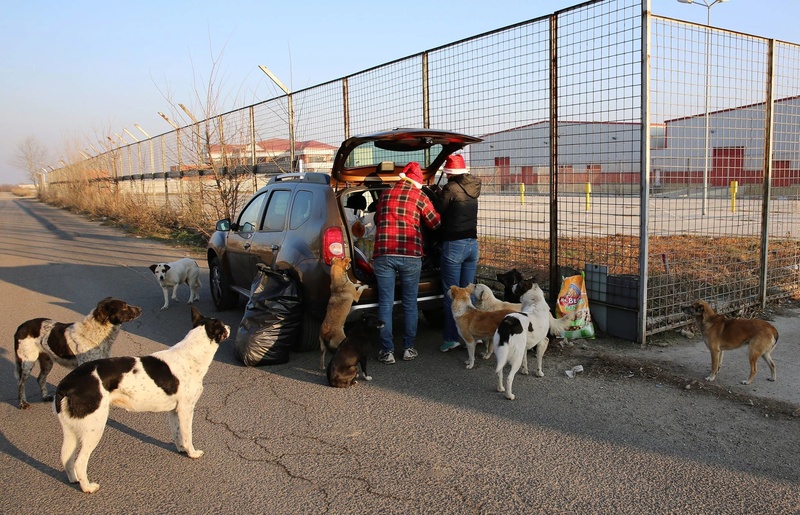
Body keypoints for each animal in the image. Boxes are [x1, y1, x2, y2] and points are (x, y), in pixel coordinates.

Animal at [14, 298, 142, 412]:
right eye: (124, 306)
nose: (141, 309)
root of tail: (21, 326)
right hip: (27, 362)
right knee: (21, 383)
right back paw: (22, 404)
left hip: (47, 361)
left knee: (40, 378)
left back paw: (45, 397)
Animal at [53, 308, 230, 494]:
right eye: (222, 325)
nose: (230, 327)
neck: (191, 354)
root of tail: (67, 383)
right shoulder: (186, 409)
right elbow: (188, 435)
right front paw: (192, 453)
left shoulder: (174, 412)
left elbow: (177, 433)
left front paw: (181, 449)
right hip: (94, 429)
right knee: (80, 462)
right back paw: (87, 487)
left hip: (72, 431)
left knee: (66, 458)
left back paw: (74, 480)